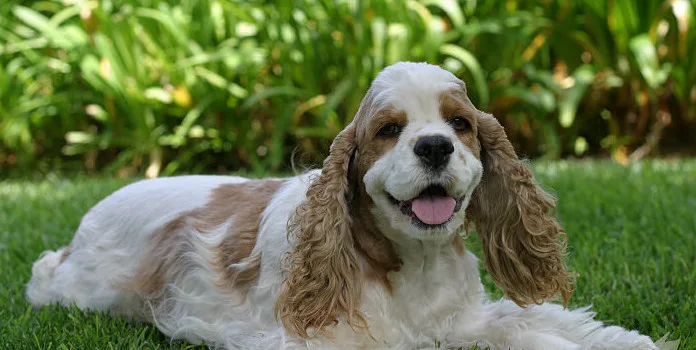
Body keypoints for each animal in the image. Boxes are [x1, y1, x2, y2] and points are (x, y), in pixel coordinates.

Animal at [27, 63, 656, 350]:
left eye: (460, 123)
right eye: (388, 130)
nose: (435, 146)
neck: (413, 263)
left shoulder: (463, 318)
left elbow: (542, 321)